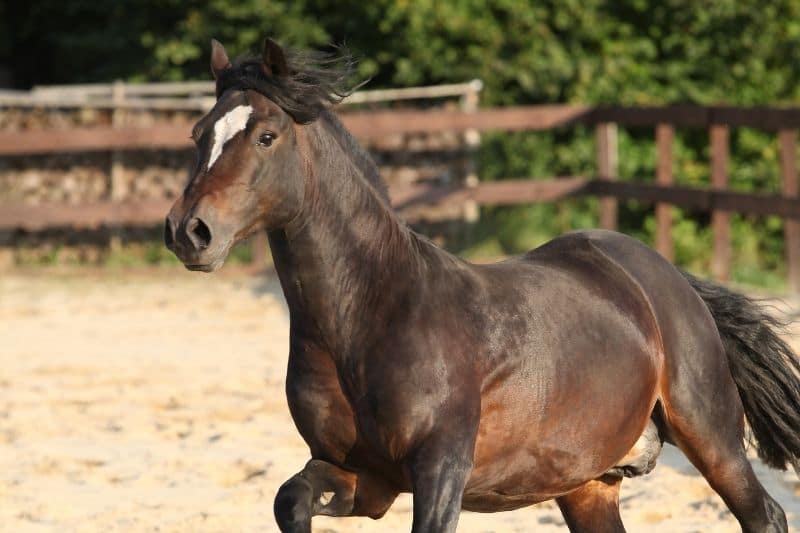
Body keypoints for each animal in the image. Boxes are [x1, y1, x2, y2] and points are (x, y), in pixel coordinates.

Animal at [164, 38, 800, 532]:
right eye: (198, 133)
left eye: (266, 136)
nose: (189, 231)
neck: (368, 316)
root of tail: (667, 278)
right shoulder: (360, 476)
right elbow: (288, 499)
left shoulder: (440, 469)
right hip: (586, 484)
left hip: (710, 434)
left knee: (765, 514)